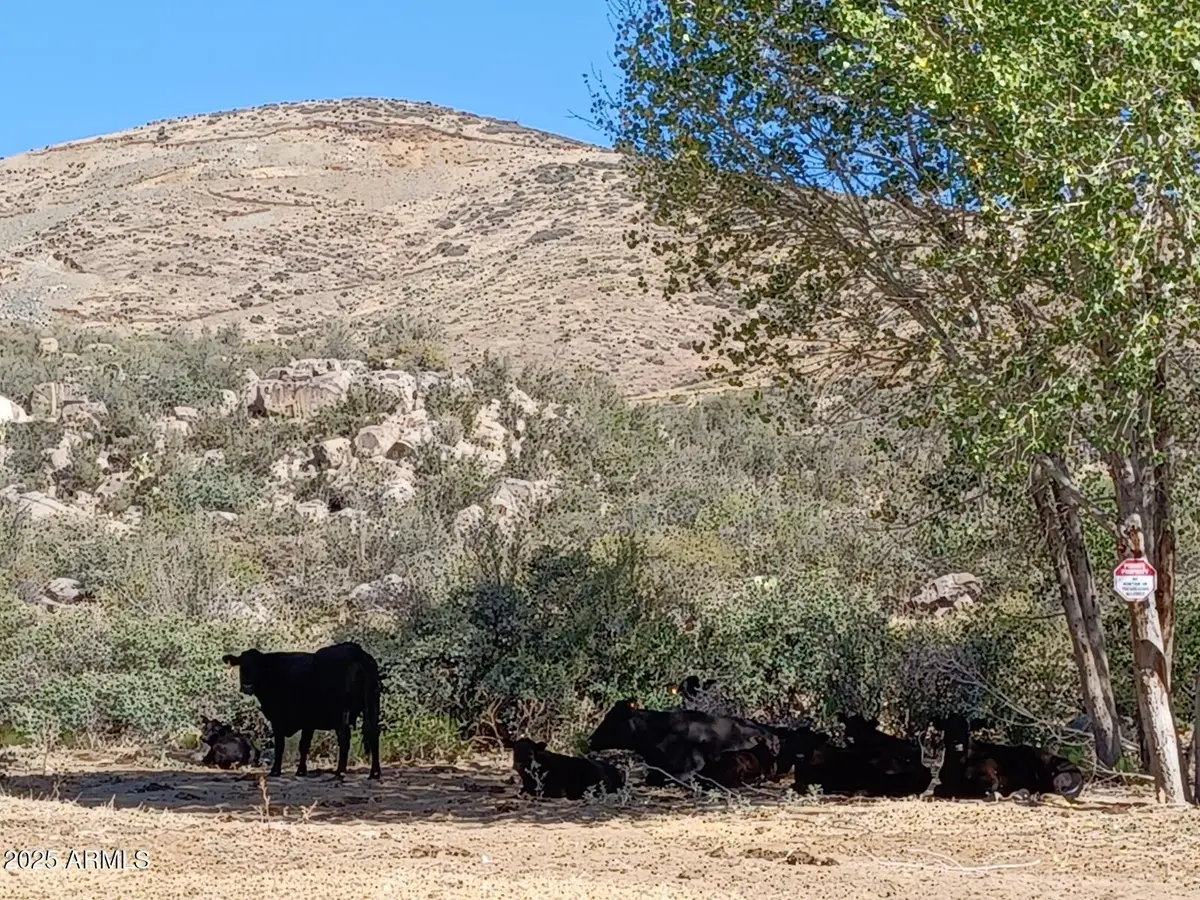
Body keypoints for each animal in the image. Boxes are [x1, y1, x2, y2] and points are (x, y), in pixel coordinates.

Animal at [221, 641, 382, 779]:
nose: (247, 686)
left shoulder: (278, 718)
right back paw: (374, 772)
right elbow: (304, 745)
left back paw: (339, 773)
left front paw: (275, 771)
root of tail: (358, 653)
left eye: (259, 667)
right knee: (373, 733)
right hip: (372, 704)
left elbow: (280, 745)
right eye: (242, 666)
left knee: (344, 738)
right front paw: (300, 771)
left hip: (342, 712)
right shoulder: (308, 721)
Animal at [932, 714, 1084, 801]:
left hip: (1056, 777)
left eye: (967, 730)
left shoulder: (990, 779)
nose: (957, 745)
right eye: (947, 729)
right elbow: (938, 789)